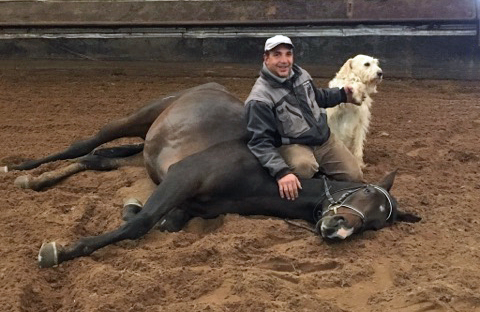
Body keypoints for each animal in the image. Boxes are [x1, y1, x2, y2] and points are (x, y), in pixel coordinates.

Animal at [1, 83, 418, 268]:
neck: (260, 176)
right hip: (138, 119)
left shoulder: (181, 194)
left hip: (143, 155)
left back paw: (35, 181)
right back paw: (20, 169)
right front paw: (60, 251)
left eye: (376, 224)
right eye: (365, 193)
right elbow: (141, 224)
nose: (338, 229)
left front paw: (131, 208)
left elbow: (162, 221)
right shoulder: (183, 176)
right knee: (86, 143)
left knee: (97, 159)